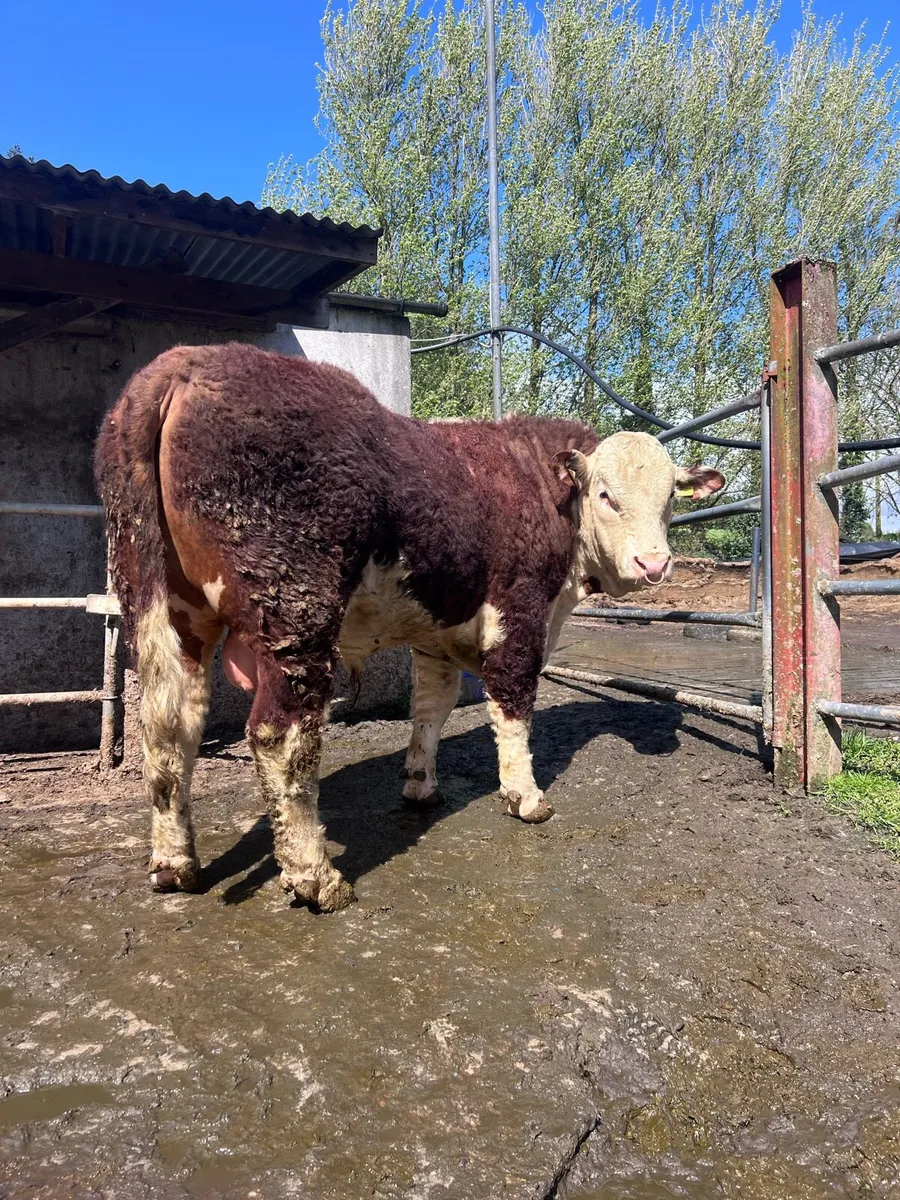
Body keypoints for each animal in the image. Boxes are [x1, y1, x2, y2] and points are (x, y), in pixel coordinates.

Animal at [95, 343, 724, 912]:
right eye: (607, 495)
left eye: (670, 499)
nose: (654, 564)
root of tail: (182, 364)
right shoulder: (520, 614)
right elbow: (513, 706)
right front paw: (526, 797)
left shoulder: (437, 634)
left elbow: (431, 707)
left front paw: (421, 783)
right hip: (295, 611)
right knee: (280, 737)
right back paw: (315, 877)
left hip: (164, 605)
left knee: (170, 727)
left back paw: (175, 864)